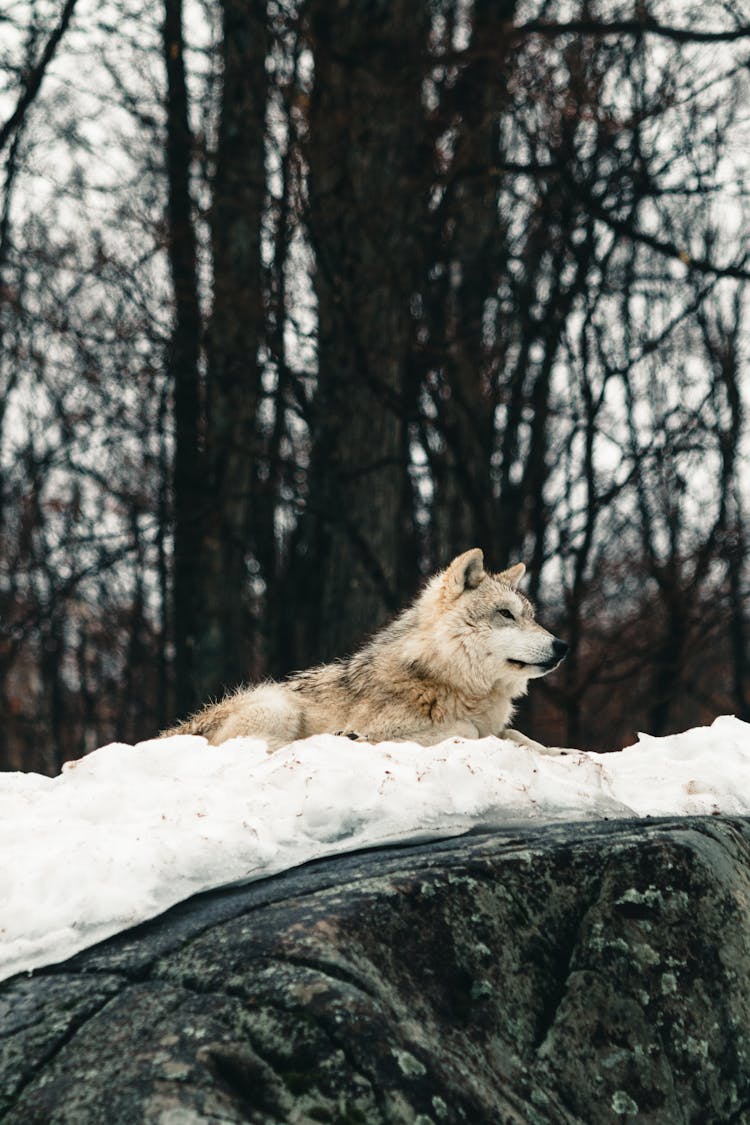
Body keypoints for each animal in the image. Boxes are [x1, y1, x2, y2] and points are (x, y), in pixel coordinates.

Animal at [161, 546, 566, 751]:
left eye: (531, 617)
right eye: (506, 614)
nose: (562, 645)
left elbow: (518, 736)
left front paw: (556, 751)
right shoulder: (404, 726)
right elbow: (465, 731)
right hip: (277, 705)